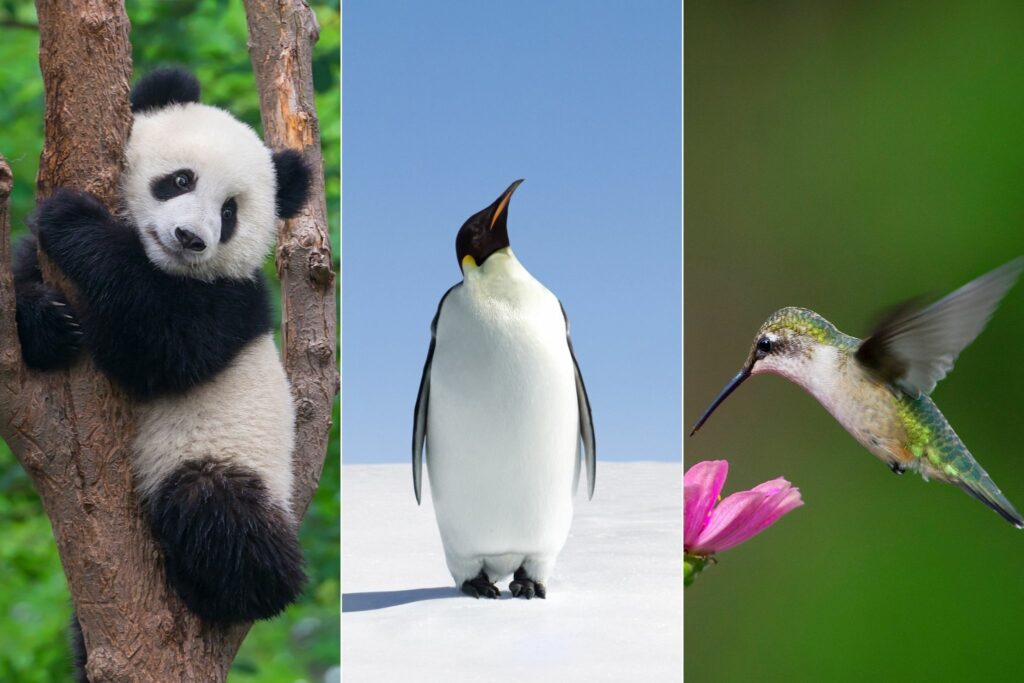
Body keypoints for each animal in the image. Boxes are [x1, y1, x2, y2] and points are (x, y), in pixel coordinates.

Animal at [13, 67, 312, 638]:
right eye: (180, 180)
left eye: (229, 212)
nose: (191, 238)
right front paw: (47, 322)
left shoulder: (232, 302)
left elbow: (160, 347)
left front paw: (73, 220)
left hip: (229, 457)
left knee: (218, 512)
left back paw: (227, 590)